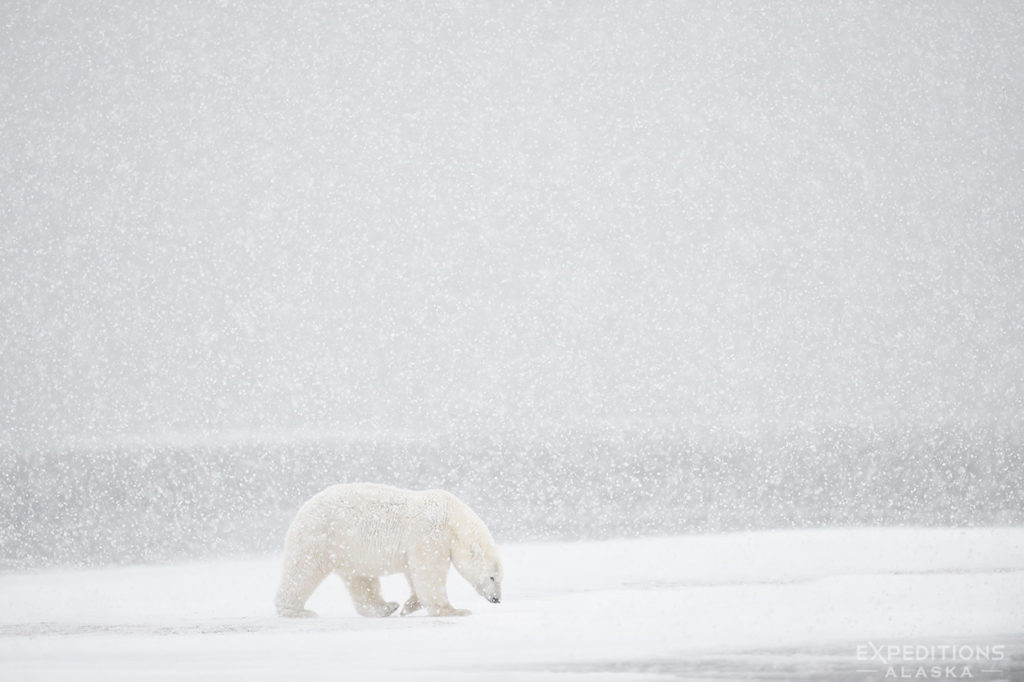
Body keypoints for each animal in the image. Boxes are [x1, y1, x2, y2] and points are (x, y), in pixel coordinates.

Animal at [276, 481, 503, 618]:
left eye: (500, 577)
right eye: (492, 577)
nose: (497, 599)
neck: (450, 518)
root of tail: (302, 510)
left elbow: (415, 573)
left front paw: (409, 606)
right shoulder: (429, 534)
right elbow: (429, 573)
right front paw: (455, 610)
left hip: (348, 549)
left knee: (360, 579)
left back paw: (386, 607)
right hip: (320, 537)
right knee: (303, 570)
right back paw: (296, 611)